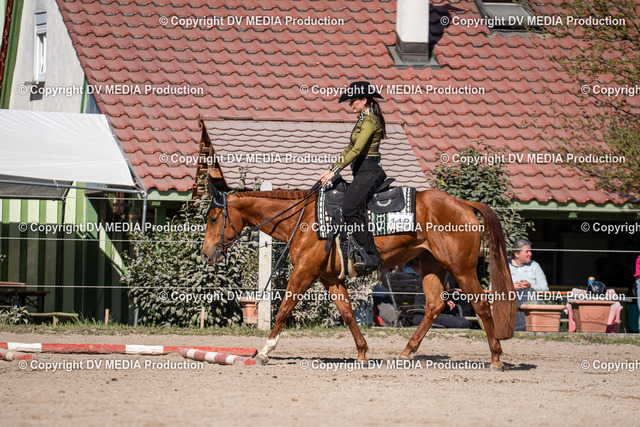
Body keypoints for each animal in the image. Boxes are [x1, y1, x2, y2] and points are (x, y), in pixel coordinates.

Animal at [201, 186, 517, 370]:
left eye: (214, 219)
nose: (206, 254)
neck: (303, 218)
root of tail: (463, 203)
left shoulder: (304, 272)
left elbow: (284, 309)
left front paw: (267, 350)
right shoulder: (329, 278)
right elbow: (347, 312)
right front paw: (363, 352)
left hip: (462, 269)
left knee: (482, 306)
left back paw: (496, 358)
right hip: (432, 265)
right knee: (435, 306)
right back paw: (406, 353)